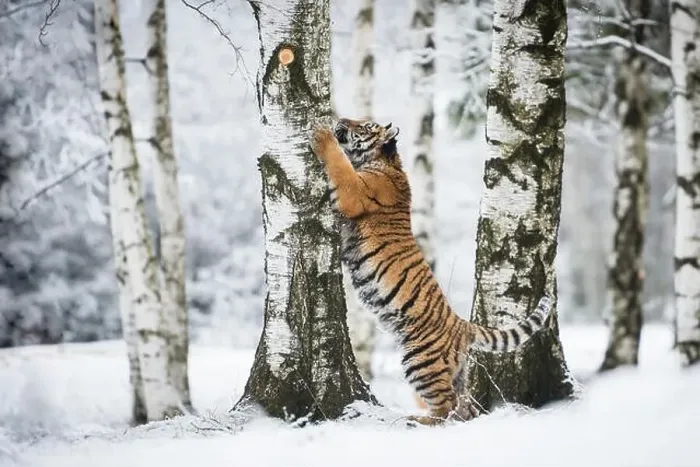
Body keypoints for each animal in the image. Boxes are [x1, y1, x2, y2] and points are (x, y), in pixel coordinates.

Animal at [309, 117, 553, 425]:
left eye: (364, 126)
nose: (340, 120)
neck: (384, 160)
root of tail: (463, 324)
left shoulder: (353, 191)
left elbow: (339, 164)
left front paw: (321, 135)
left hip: (420, 361)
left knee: (446, 406)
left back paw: (418, 420)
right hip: (451, 371)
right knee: (463, 407)